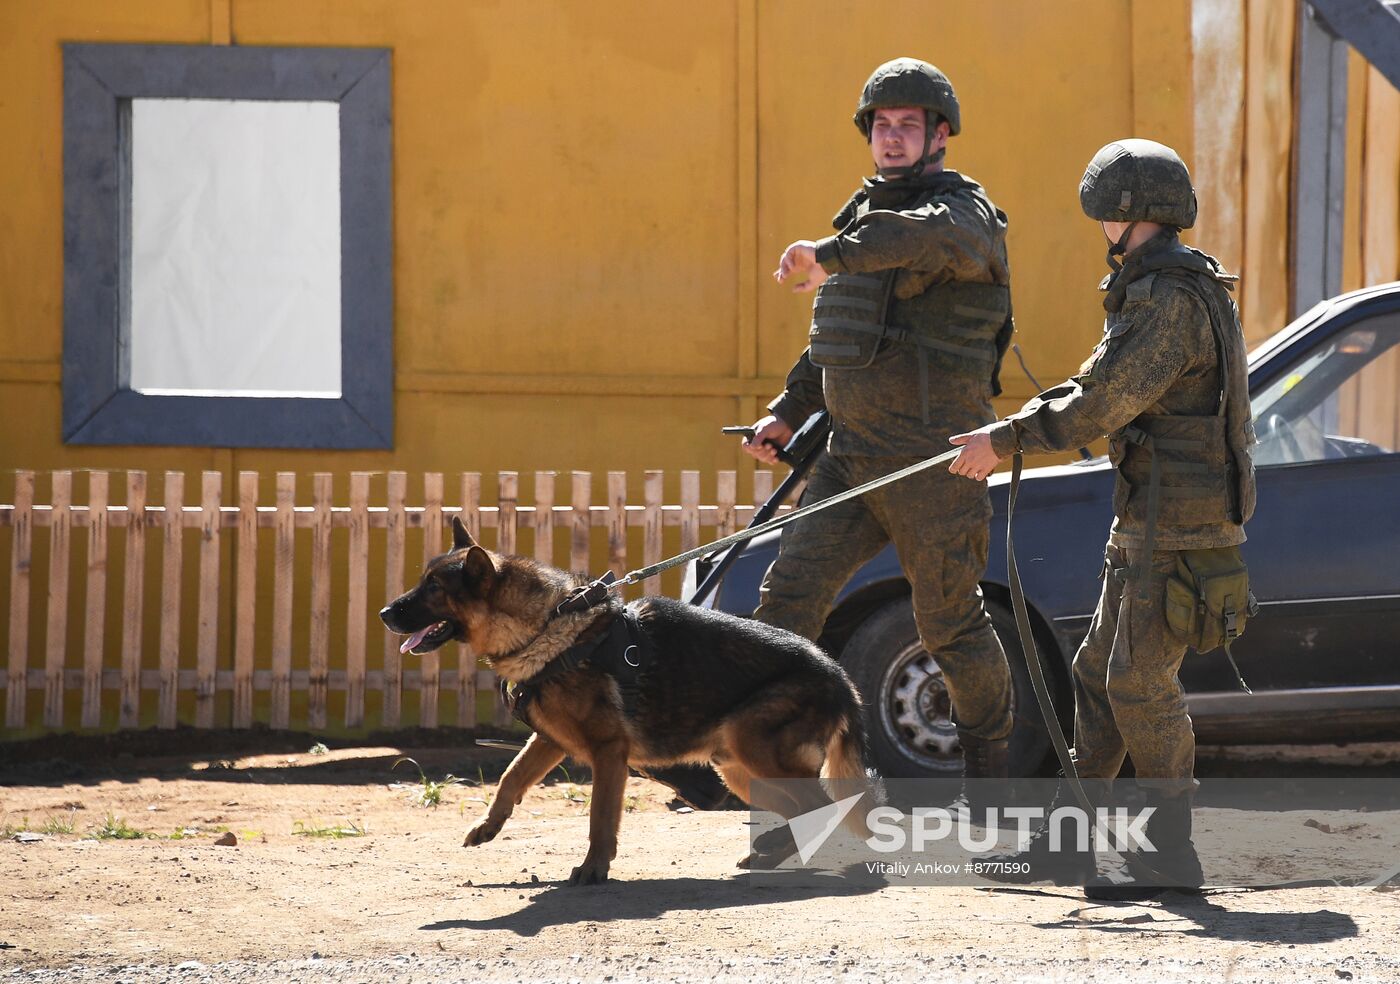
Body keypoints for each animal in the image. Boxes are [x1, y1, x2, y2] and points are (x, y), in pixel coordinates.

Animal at [380, 520, 873, 890]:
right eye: (422, 581)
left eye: (434, 587)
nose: (384, 613)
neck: (546, 629)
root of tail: (842, 678)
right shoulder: (550, 741)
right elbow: (509, 778)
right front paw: (490, 825)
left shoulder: (608, 752)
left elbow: (600, 816)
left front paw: (594, 868)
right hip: (738, 768)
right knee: (806, 810)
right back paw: (771, 854)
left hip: (756, 753)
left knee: (826, 806)